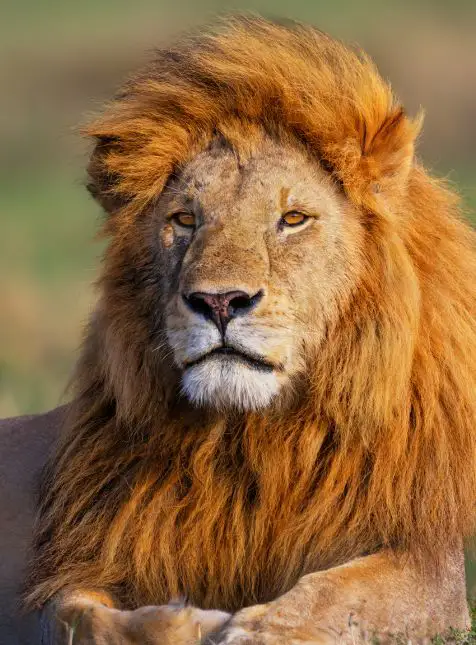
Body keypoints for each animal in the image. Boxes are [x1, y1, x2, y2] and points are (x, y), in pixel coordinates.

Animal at [1, 15, 475, 645]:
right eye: (184, 219)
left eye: (292, 219)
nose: (219, 301)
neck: (250, 440)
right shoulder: (78, 565)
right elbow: (81, 615)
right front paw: (185, 621)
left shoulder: (428, 565)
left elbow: (339, 594)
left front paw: (258, 629)